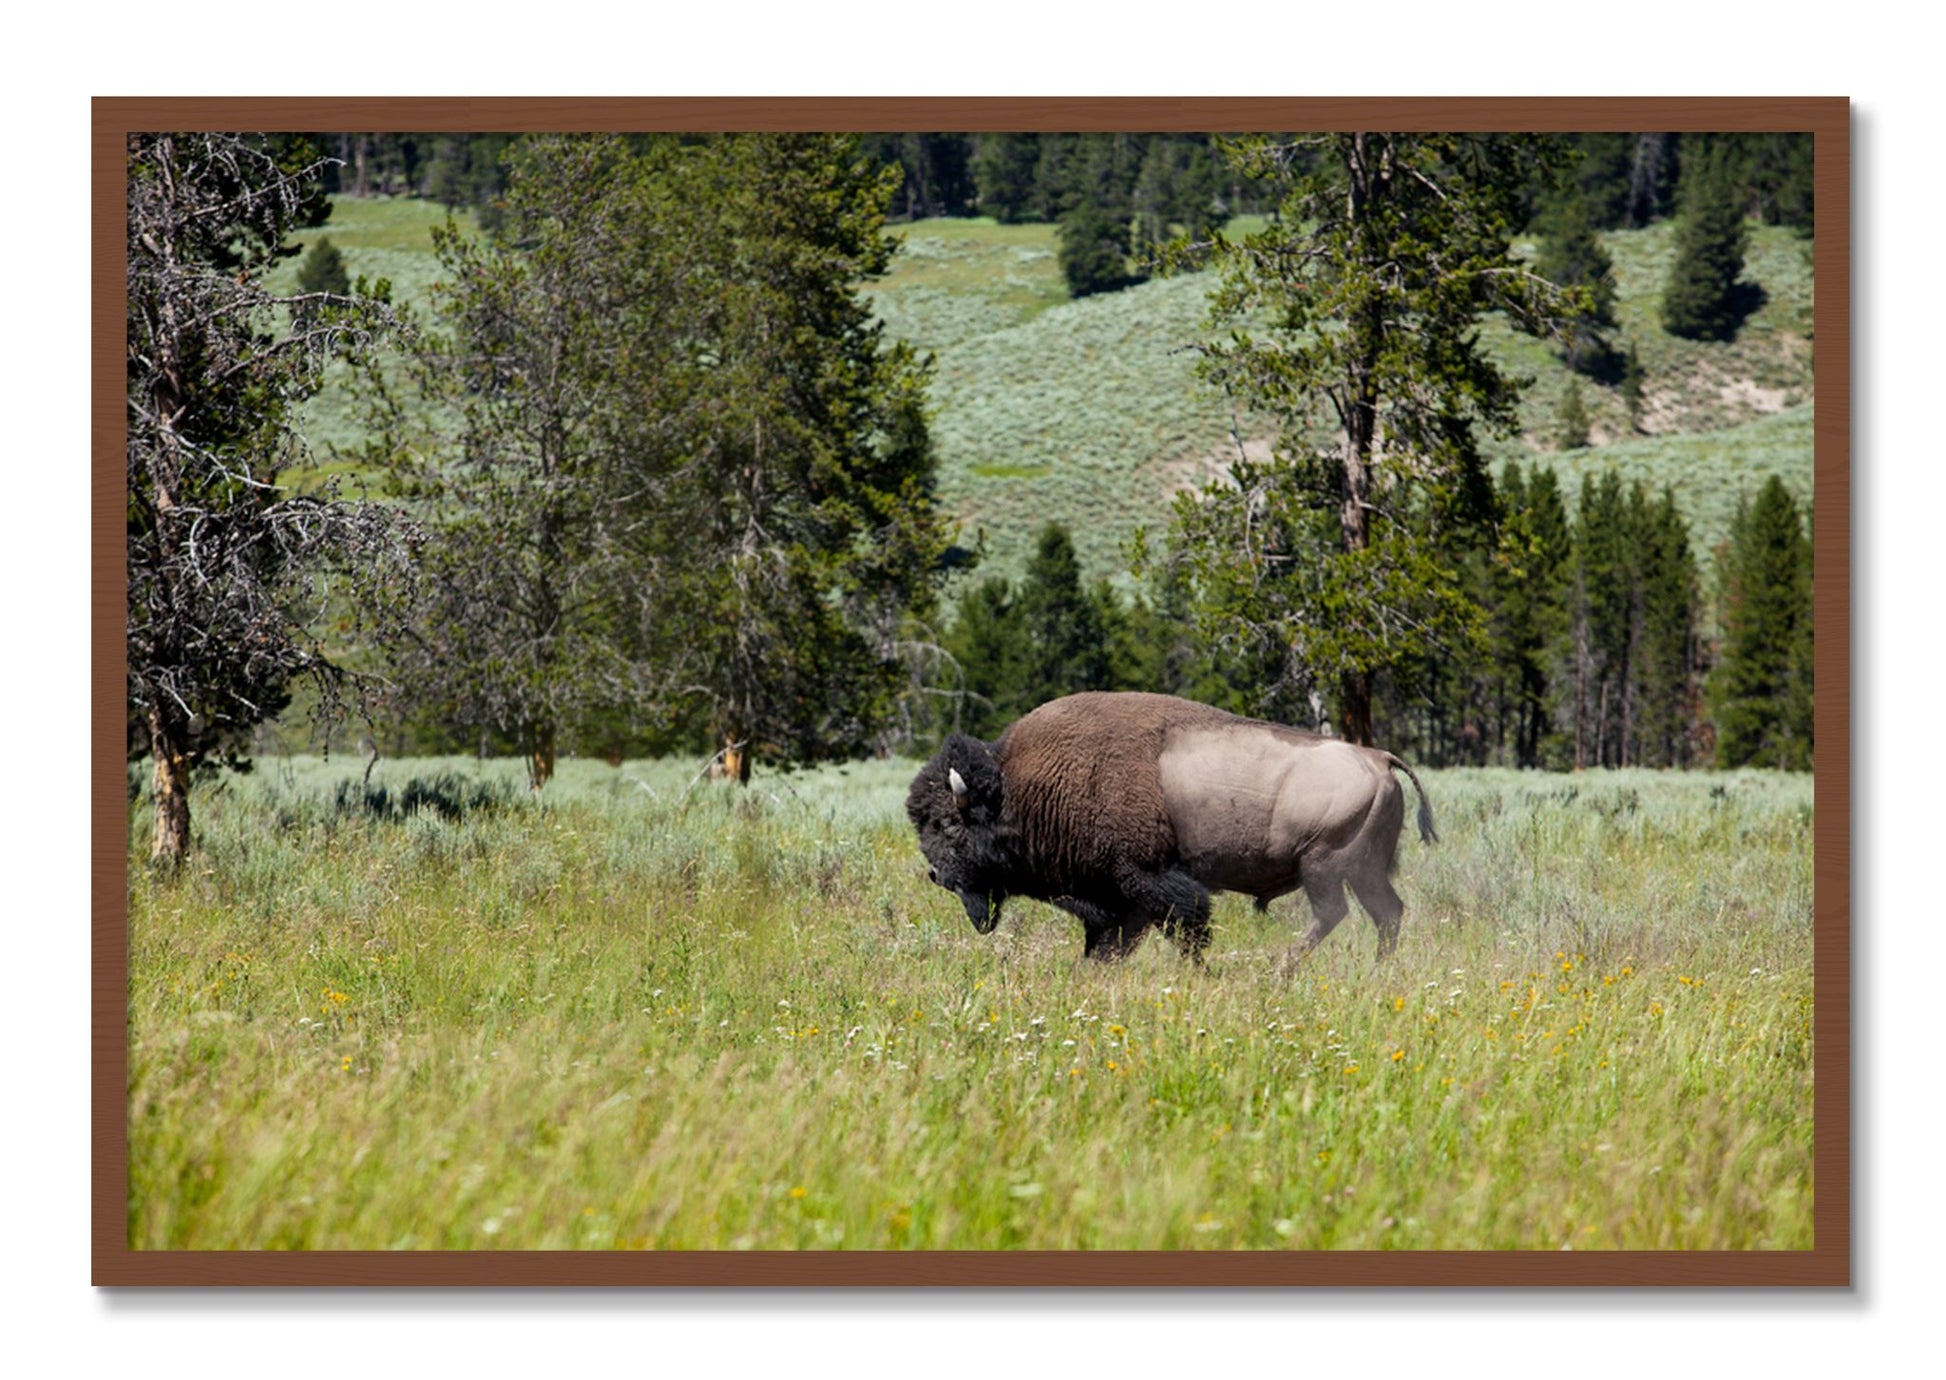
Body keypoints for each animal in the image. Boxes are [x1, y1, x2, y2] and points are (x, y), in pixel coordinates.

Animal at [906, 692, 1437, 967]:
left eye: (949, 824)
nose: (935, 875)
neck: (1019, 787)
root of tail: (1377, 758)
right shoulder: (1117, 900)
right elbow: (1109, 945)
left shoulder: (1147, 881)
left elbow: (1186, 928)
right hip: (1363, 870)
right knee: (1387, 913)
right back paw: (1376, 971)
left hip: (1324, 865)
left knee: (1334, 914)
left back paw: (1280, 970)